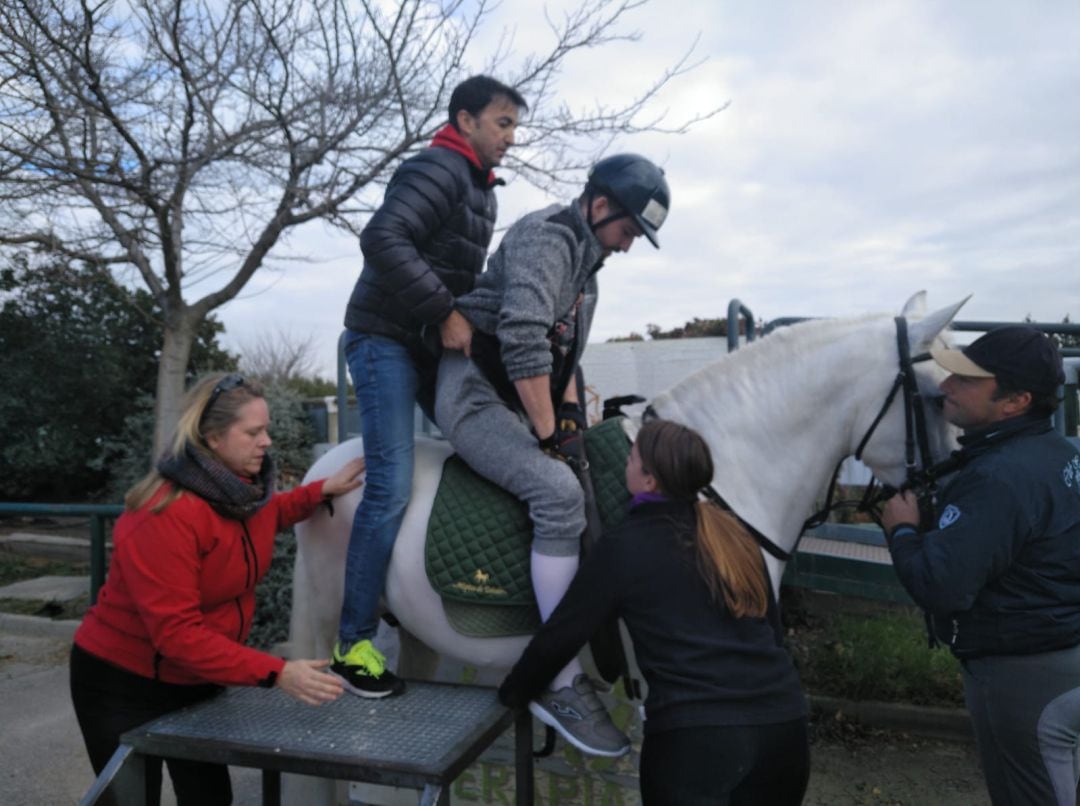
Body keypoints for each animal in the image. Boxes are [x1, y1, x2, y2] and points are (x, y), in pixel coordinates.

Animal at [291, 291, 967, 669]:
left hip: (421, 633)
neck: (715, 485)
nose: (947, 502)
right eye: (937, 398)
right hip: (324, 616)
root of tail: (330, 465)